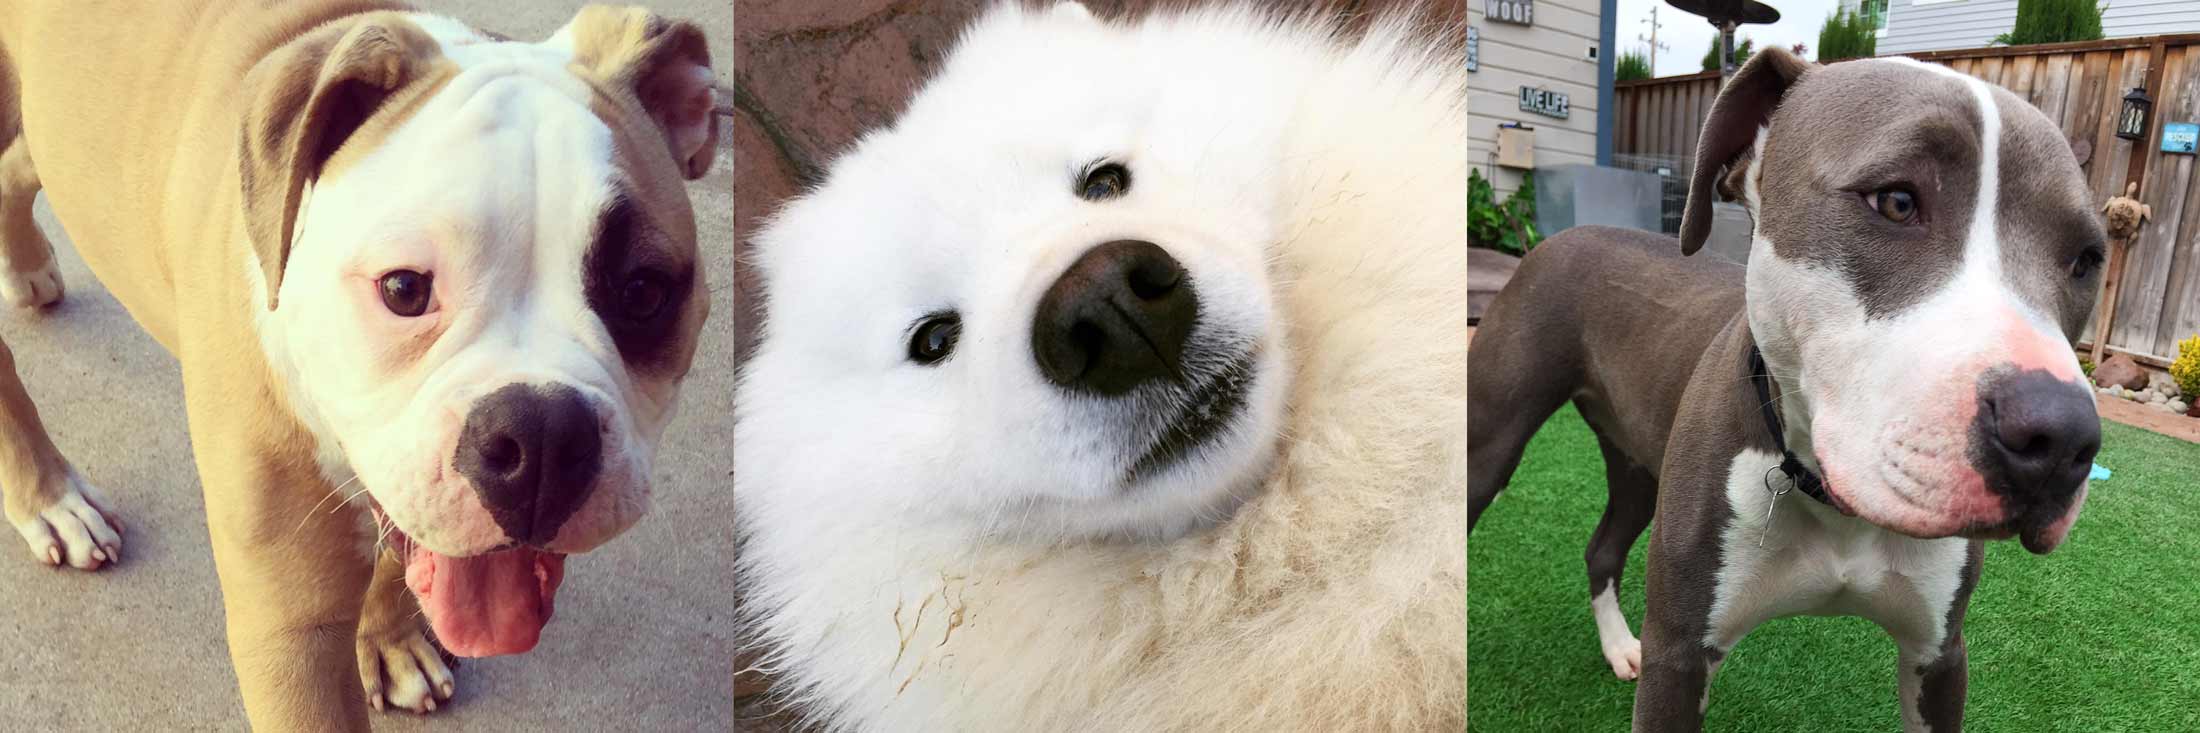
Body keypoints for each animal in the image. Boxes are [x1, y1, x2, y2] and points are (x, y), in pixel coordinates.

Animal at [1469, 48, 2103, 726]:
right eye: (1896, 201)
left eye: (2087, 259)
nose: (2061, 437)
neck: (1832, 501)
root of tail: (1562, 235)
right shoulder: (1679, 655)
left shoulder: (1939, 657)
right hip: (1489, 446)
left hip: (1637, 465)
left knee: (1603, 547)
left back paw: (1617, 646)